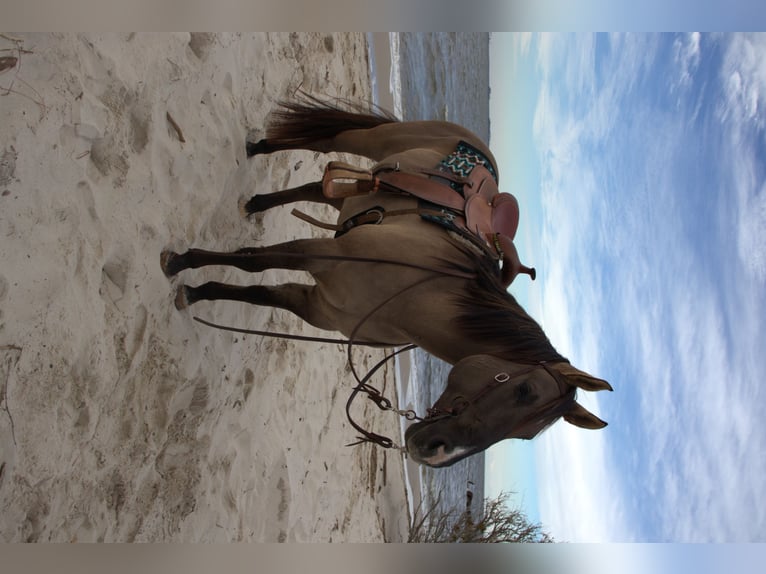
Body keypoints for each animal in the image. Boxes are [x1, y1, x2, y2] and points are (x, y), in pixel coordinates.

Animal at [161, 96, 612, 468]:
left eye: (525, 434)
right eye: (524, 391)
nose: (434, 452)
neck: (415, 291)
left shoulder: (317, 306)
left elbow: (259, 293)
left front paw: (197, 291)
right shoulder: (319, 254)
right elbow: (254, 263)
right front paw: (182, 265)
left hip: (356, 192)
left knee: (317, 188)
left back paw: (257, 203)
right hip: (368, 141)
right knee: (327, 143)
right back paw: (257, 149)